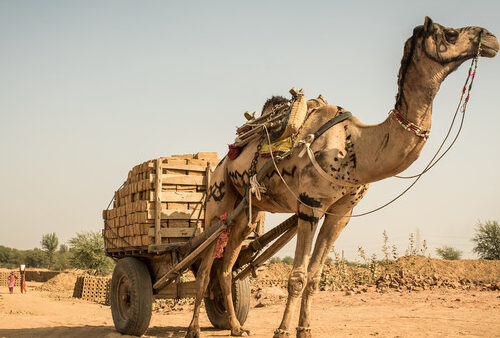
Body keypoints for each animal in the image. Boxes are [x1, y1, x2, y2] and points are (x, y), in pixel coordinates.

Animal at [186, 16, 498, 338]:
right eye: (450, 34)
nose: (490, 38)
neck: (356, 144)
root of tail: (222, 160)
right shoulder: (310, 205)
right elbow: (297, 276)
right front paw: (282, 331)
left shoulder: (341, 212)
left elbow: (314, 277)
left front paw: (305, 330)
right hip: (218, 201)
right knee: (205, 266)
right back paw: (193, 329)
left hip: (248, 212)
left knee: (226, 267)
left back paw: (237, 327)